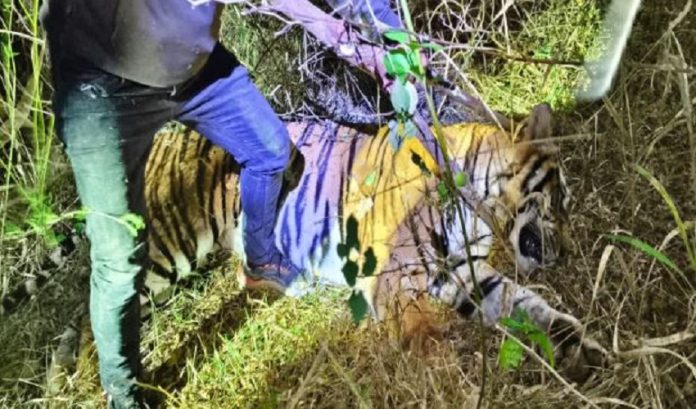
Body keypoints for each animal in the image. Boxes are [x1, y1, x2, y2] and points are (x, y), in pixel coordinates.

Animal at [3, 103, 606, 383]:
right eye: (561, 200)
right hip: (162, 249)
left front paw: (582, 347)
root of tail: (159, 141)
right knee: (98, 313)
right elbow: (427, 336)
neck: (481, 209)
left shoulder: (466, 276)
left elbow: (531, 307)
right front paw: (447, 374)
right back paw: (107, 383)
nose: (564, 252)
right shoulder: (393, 280)